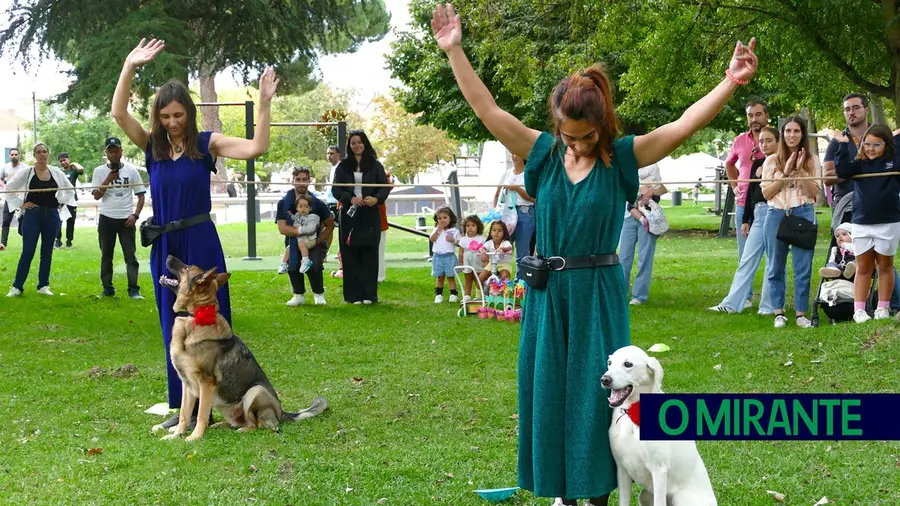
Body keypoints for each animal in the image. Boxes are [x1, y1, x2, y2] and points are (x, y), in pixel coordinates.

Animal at [158, 255, 326, 440]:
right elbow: (184, 415)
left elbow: (201, 414)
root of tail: (281, 413)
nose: (168, 256)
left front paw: (194, 437)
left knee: (260, 425)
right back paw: (220, 425)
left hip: (254, 392)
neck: (194, 315)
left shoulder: (205, 383)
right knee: (238, 422)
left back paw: (245, 429)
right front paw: (176, 435)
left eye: (186, 268)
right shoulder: (187, 386)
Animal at [596, 346, 716, 506]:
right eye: (610, 363)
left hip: (680, 497)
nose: (604, 379)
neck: (632, 413)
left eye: (628, 364)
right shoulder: (621, 468)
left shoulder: (659, 469)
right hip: (645, 495)